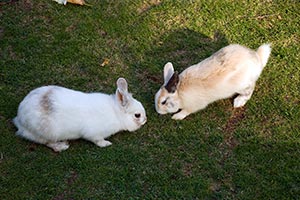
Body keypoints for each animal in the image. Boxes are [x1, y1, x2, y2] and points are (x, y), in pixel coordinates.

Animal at [14, 77, 148, 152]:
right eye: (137, 115)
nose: (145, 119)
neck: (116, 113)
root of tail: (19, 119)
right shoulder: (94, 134)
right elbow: (97, 141)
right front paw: (106, 144)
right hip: (46, 133)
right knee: (47, 143)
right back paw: (62, 146)